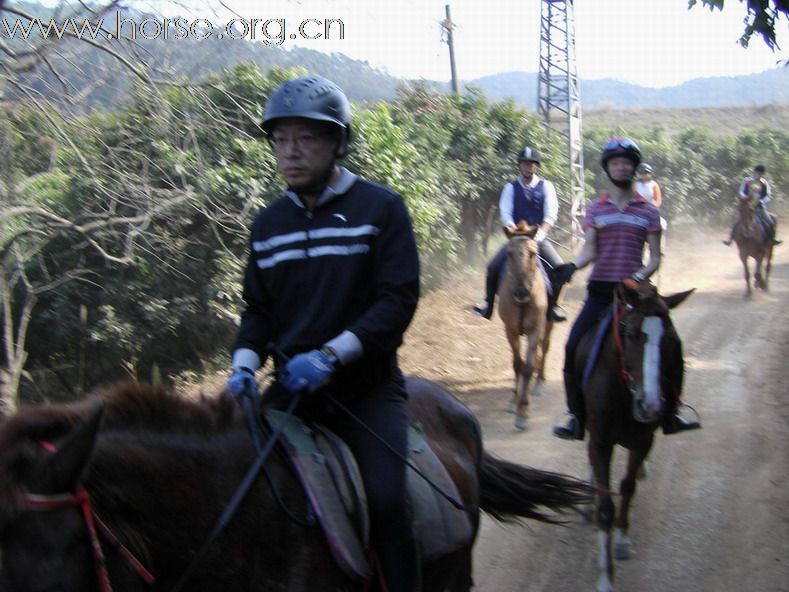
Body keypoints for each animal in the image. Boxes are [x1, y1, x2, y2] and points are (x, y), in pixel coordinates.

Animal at [497, 223, 554, 430]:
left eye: (533, 253)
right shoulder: (510, 330)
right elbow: (517, 364)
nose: (522, 292)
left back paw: (539, 383)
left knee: (545, 348)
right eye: (509, 253)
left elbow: (527, 367)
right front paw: (514, 401)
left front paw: (523, 411)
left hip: (548, 324)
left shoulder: (534, 330)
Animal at [573, 280, 694, 592]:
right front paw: (606, 577)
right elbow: (606, 504)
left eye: (670, 340)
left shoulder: (642, 441)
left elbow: (627, 487)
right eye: (629, 333)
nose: (649, 405)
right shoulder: (601, 442)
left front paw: (622, 541)